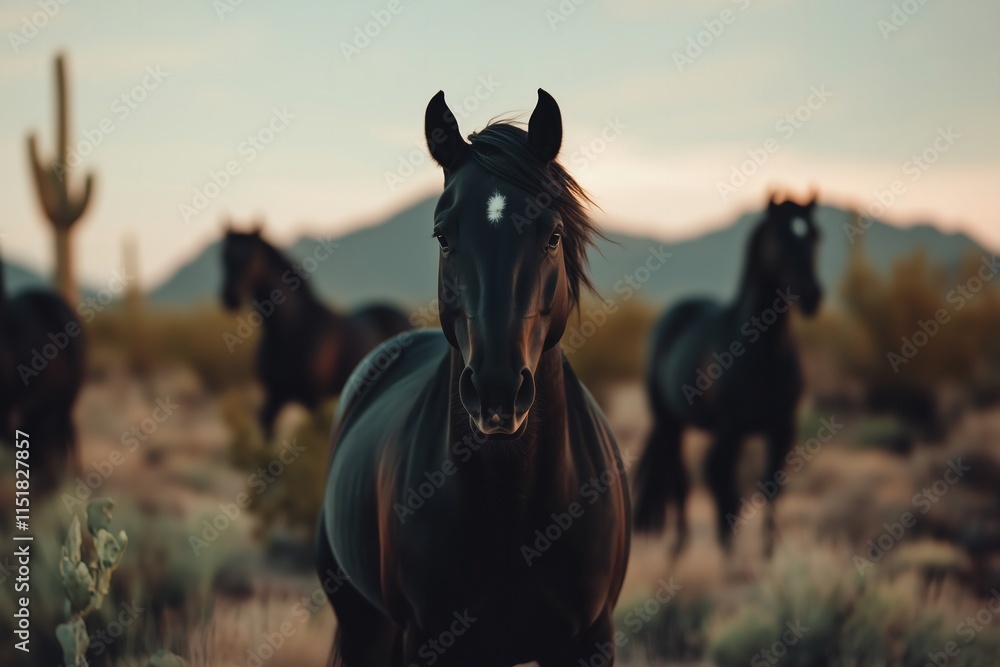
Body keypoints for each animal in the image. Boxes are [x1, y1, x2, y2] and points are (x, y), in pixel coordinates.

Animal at [220, 227, 410, 438]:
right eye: (223, 256)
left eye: (252, 256)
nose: (230, 297)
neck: (291, 331)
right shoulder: (275, 398)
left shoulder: (314, 399)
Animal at [315, 89, 630, 667]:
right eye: (443, 236)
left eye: (553, 235)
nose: (497, 391)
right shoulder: (429, 641)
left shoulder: (590, 639)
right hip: (361, 620)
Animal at [633, 193, 823, 556]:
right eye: (780, 235)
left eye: (816, 237)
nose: (813, 296)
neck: (763, 351)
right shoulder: (731, 428)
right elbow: (725, 483)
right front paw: (729, 550)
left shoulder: (782, 429)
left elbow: (770, 486)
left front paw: (769, 552)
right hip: (670, 422)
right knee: (682, 478)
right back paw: (679, 546)